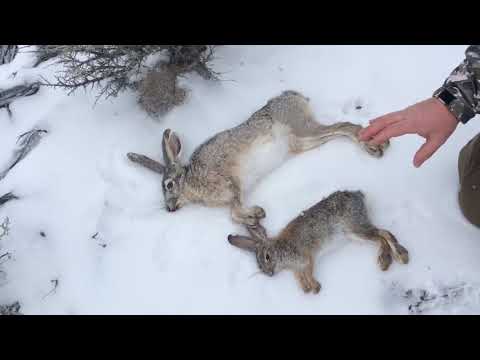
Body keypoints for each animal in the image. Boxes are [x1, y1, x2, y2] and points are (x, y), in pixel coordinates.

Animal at [125, 91, 388, 229]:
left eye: (168, 185)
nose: (169, 209)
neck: (190, 180)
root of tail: (293, 95)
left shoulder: (232, 183)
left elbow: (233, 212)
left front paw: (256, 213)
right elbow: (232, 212)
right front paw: (254, 217)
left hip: (300, 127)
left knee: (345, 126)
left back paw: (373, 147)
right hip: (301, 141)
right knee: (336, 133)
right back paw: (372, 144)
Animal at [227, 190, 406, 294]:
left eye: (267, 257)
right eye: (259, 267)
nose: (269, 274)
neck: (281, 248)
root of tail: (358, 195)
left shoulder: (307, 257)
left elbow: (308, 271)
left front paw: (315, 287)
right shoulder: (297, 268)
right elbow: (299, 277)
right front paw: (306, 289)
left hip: (355, 228)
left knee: (383, 233)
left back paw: (394, 258)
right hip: (353, 235)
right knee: (381, 235)